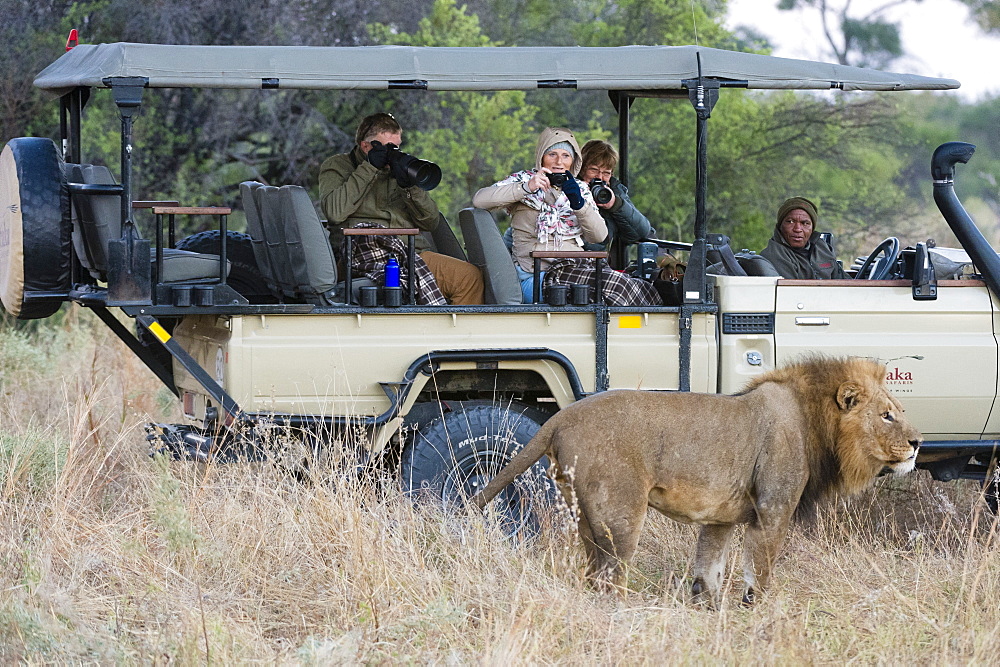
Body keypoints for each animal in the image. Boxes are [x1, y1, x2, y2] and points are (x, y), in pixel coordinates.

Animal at [472, 358, 924, 608]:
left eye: (900, 410)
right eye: (886, 415)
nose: (917, 443)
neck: (813, 422)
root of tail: (559, 418)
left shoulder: (720, 516)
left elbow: (708, 567)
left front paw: (707, 608)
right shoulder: (772, 509)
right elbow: (760, 569)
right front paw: (757, 610)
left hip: (583, 515)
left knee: (591, 572)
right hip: (620, 515)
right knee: (609, 577)